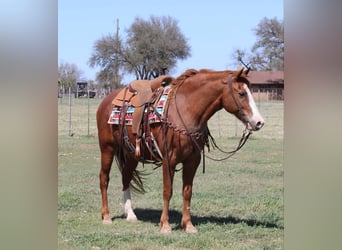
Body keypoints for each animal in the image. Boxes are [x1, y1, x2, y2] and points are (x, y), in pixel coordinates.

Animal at [96, 67, 264, 234]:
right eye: (241, 93)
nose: (259, 122)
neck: (185, 109)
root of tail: (107, 100)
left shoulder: (192, 161)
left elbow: (187, 192)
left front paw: (188, 225)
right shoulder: (168, 160)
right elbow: (167, 191)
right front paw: (165, 225)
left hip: (131, 154)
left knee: (126, 177)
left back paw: (130, 214)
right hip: (107, 148)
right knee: (104, 179)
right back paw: (106, 216)